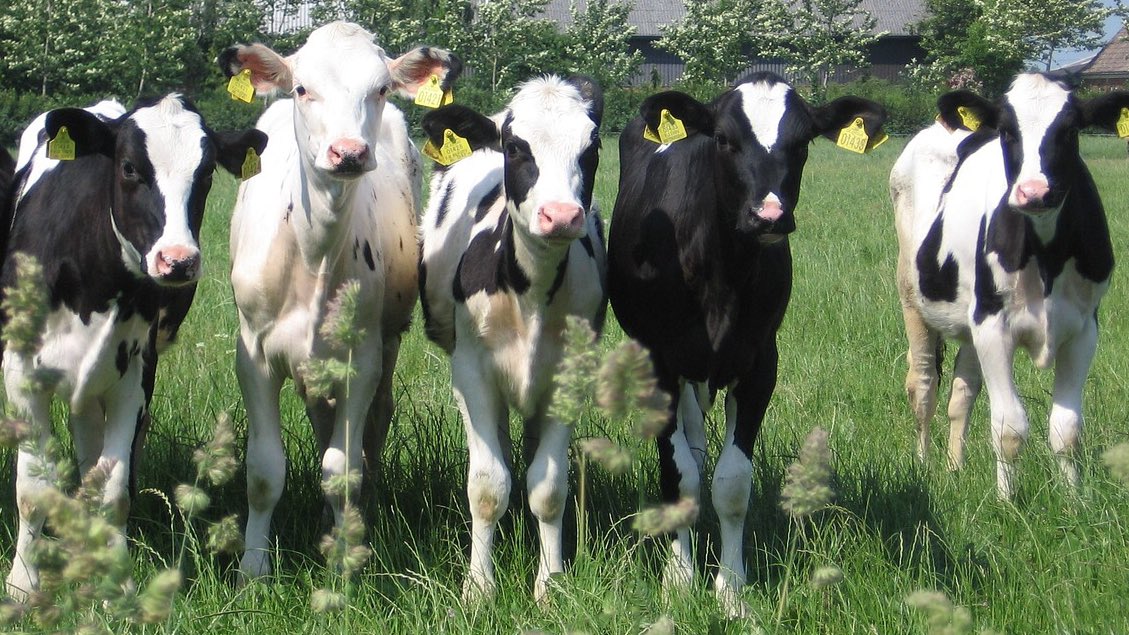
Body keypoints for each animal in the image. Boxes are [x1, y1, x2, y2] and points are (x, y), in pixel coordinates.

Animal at [1, 95, 266, 598]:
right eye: (128, 168)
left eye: (206, 173)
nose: (178, 261)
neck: (93, 282)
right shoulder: (22, 372)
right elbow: (32, 489)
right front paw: (23, 584)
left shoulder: (133, 376)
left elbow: (114, 489)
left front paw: (115, 583)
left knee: (93, 455)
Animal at [216, 21, 460, 580]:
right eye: (303, 88)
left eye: (381, 88)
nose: (348, 152)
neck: (312, 255)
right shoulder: (253, 355)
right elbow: (264, 469)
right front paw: (253, 568)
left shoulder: (361, 360)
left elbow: (341, 468)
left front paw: (344, 563)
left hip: (385, 342)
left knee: (374, 423)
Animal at [417, 75, 606, 602]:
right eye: (516, 146)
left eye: (592, 148)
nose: (561, 216)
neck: (532, 292)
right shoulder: (471, 373)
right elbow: (487, 486)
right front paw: (479, 588)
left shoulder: (569, 376)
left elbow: (548, 486)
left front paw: (549, 586)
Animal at [606, 72, 886, 615]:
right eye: (724, 139)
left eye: (803, 142)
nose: (769, 215)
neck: (723, 275)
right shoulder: (660, 364)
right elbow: (678, 475)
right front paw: (679, 578)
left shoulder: (760, 364)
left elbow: (732, 483)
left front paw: (731, 590)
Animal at [890, 73, 1129, 499]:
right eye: (1007, 131)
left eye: (1070, 130)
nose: (1034, 192)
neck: (1047, 256)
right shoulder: (994, 327)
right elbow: (1009, 427)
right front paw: (1008, 500)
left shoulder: (1084, 329)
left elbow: (1067, 429)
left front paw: (1073, 499)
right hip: (913, 299)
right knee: (923, 385)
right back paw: (924, 463)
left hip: (970, 319)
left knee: (962, 391)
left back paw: (954, 467)